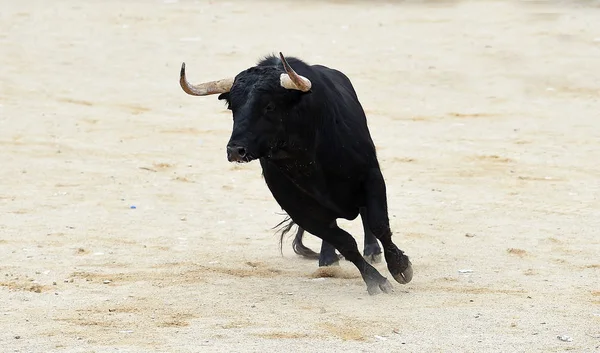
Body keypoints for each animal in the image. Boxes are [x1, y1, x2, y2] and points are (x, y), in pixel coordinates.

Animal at [178, 53, 412, 294]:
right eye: (233, 106)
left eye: (269, 106)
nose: (235, 150)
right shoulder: (297, 207)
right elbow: (344, 241)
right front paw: (375, 280)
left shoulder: (371, 175)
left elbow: (378, 223)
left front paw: (400, 267)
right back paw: (328, 259)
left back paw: (372, 250)